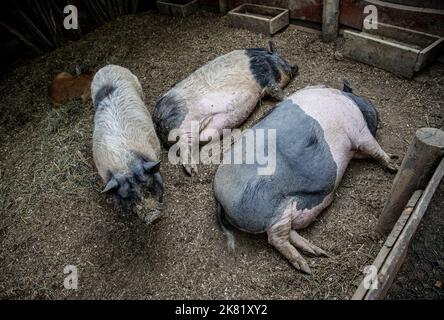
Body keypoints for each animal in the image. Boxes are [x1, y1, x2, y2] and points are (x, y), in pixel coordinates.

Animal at [91, 64, 163, 221]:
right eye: (129, 196)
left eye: (148, 186)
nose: (153, 217)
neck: (125, 163)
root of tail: (107, 66)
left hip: (137, 83)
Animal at [153, 40, 298, 175]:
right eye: (282, 59)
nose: (295, 66)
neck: (266, 60)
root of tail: (156, 117)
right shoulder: (265, 77)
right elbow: (276, 90)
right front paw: (287, 97)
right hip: (184, 122)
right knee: (183, 145)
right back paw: (193, 171)